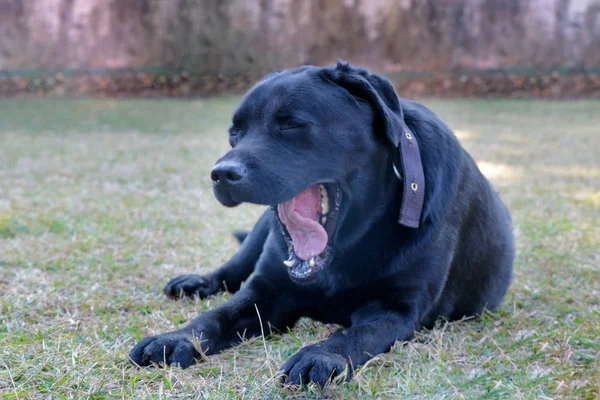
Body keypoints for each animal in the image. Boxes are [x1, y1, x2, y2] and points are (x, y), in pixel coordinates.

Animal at [129, 62, 512, 388]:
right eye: (234, 133)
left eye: (290, 124)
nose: (222, 173)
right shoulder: (267, 288)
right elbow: (217, 315)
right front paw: (177, 337)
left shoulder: (398, 309)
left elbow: (355, 334)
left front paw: (322, 355)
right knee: (231, 269)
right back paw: (196, 283)